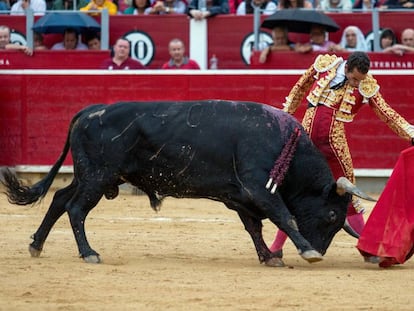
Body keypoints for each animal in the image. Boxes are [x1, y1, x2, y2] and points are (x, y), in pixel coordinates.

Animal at [1, 101, 374, 266]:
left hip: (88, 175)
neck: (285, 145)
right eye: (331, 216)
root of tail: (87, 111)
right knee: (76, 209)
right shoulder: (258, 188)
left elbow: (254, 227)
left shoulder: (241, 196)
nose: (321, 250)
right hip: (98, 176)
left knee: (60, 199)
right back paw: (89, 253)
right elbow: (285, 217)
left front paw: (270, 257)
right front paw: (304, 250)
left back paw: (36, 245)